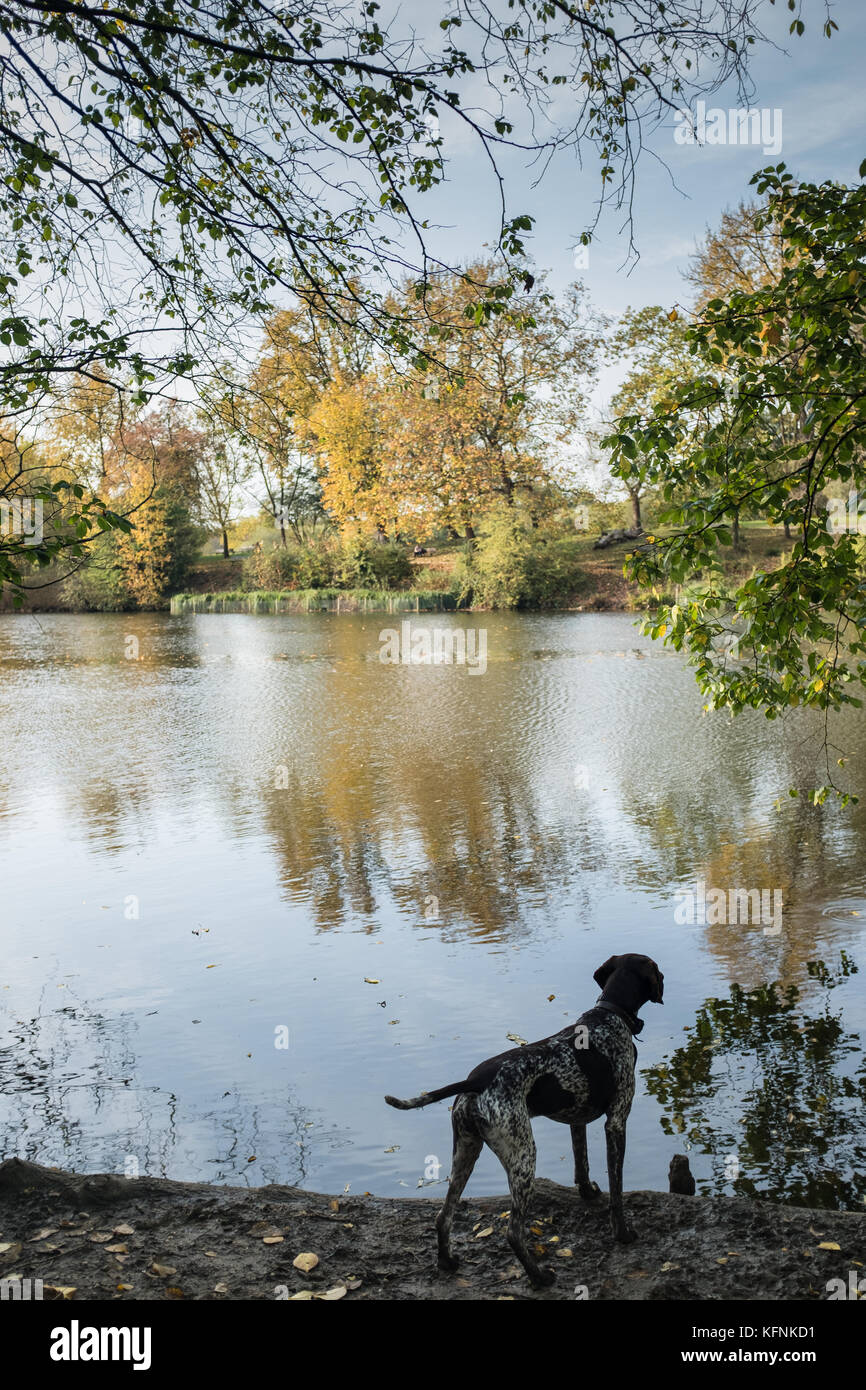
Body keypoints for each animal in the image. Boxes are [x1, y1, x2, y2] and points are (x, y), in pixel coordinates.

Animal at [383, 950, 664, 1284]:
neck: (609, 1015)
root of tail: (475, 1081)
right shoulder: (617, 1121)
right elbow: (617, 1191)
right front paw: (622, 1234)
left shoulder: (577, 1119)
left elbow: (581, 1163)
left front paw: (587, 1192)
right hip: (523, 1157)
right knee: (513, 1232)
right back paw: (540, 1277)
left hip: (465, 1151)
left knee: (443, 1216)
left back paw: (447, 1261)